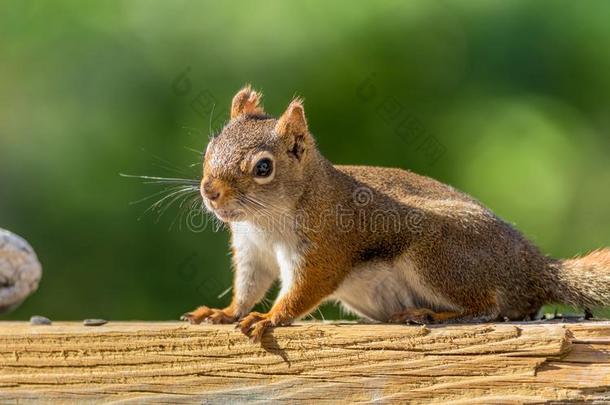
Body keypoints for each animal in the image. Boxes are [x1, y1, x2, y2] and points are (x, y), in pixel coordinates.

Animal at [179, 84, 608, 340]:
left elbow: (304, 290)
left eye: (263, 167)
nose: (210, 191)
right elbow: (249, 287)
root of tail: (534, 268)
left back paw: (434, 316)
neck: (265, 222)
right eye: (209, 148)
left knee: (490, 306)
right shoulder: (253, 251)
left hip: (438, 255)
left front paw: (270, 318)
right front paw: (224, 312)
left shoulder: (326, 245)